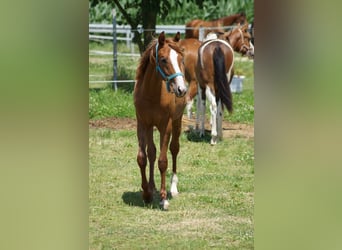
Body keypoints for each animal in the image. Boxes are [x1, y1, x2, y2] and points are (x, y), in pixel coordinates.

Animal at [134, 32, 187, 210]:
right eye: (163, 59)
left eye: (181, 58)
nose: (181, 89)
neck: (151, 95)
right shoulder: (142, 124)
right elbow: (143, 157)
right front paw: (146, 193)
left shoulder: (166, 126)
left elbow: (163, 161)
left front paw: (164, 199)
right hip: (151, 127)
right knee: (152, 152)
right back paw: (152, 187)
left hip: (177, 122)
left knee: (174, 149)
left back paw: (173, 188)